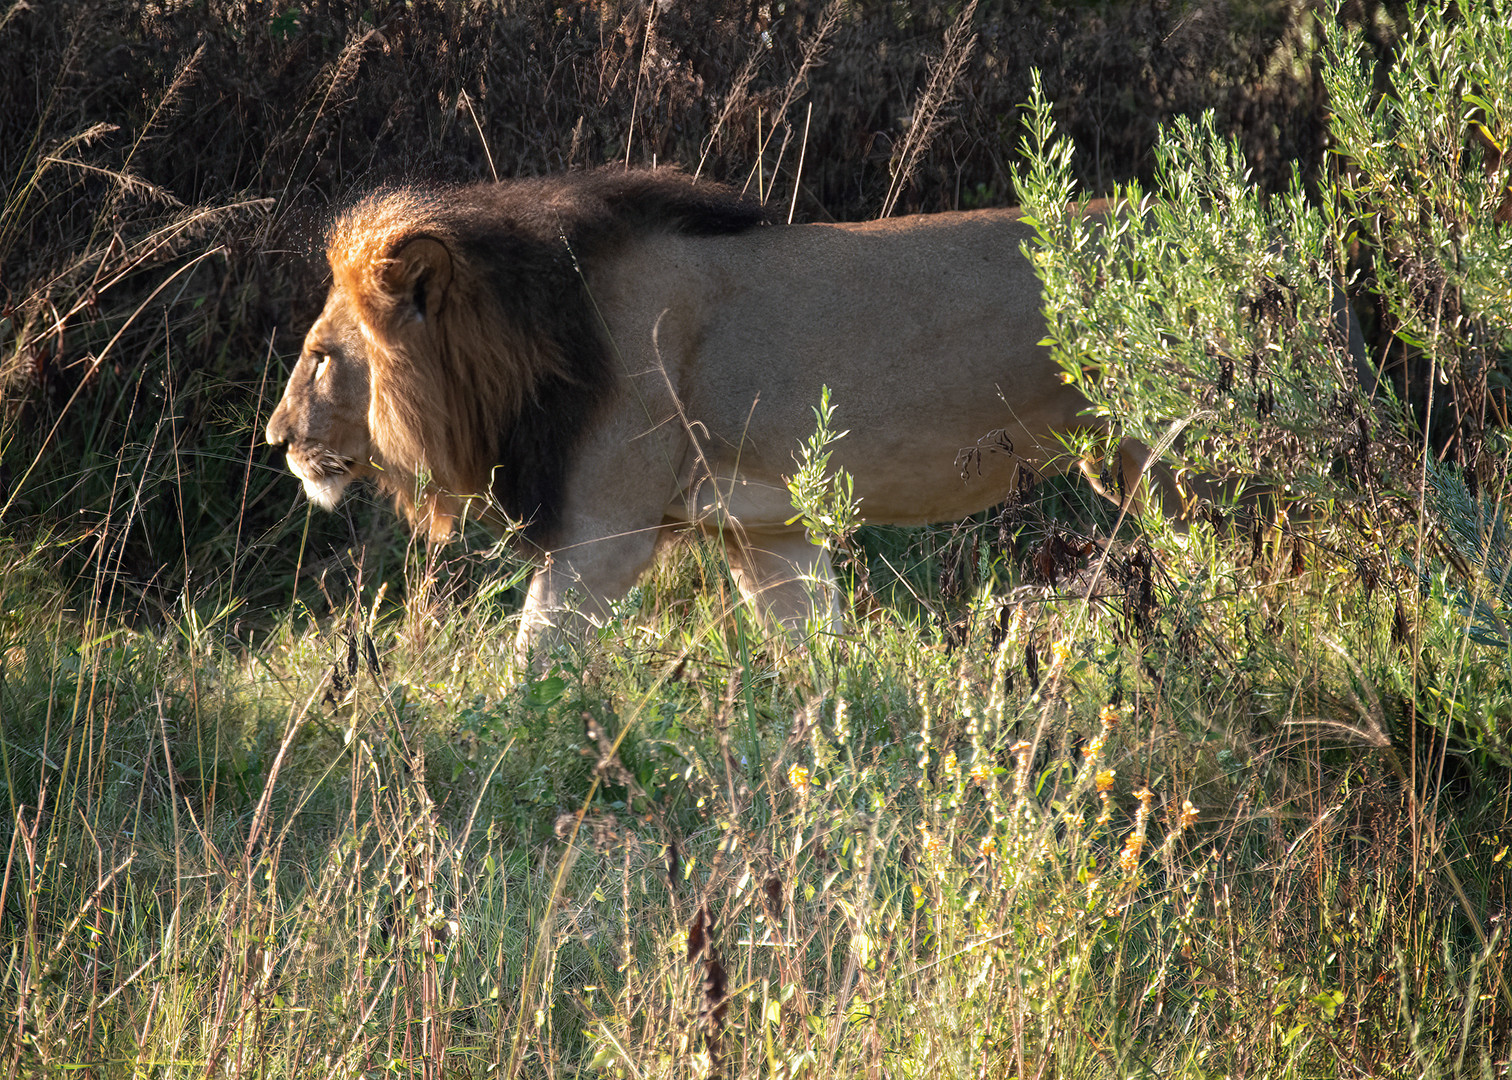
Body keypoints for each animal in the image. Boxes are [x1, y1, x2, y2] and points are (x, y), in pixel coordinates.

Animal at [266, 167, 1173, 653]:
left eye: (320, 357)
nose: (276, 439)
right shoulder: (767, 533)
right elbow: (819, 656)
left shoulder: (604, 534)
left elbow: (533, 669)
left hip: (1166, 467)